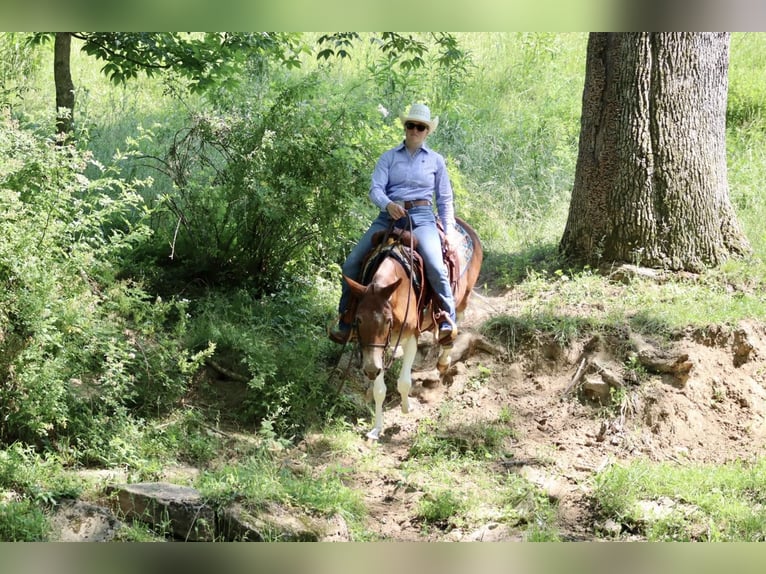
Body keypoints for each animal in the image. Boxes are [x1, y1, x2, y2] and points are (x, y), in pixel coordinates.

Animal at [344, 218, 484, 444]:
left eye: (387, 320)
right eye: (358, 319)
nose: (370, 370)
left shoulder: (411, 338)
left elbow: (403, 382)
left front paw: (406, 407)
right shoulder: (378, 348)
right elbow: (379, 390)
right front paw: (376, 429)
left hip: (464, 296)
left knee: (455, 322)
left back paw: (444, 355)